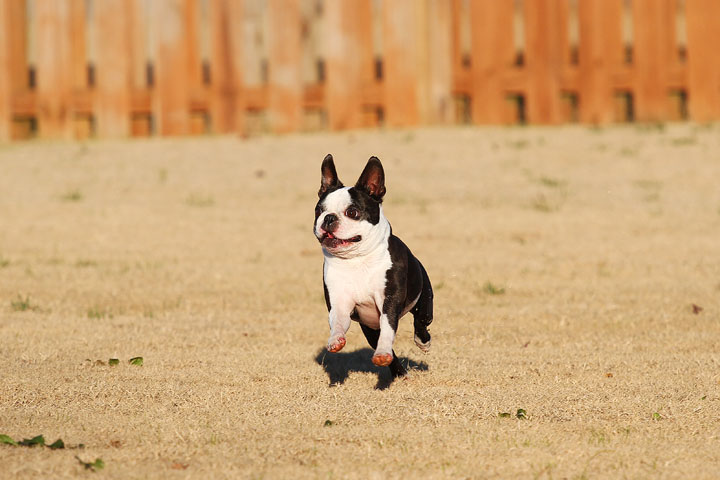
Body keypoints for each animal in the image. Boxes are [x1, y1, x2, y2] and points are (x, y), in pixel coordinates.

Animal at [314, 156, 434, 376]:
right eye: (319, 210)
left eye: (352, 212)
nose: (328, 218)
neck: (357, 260)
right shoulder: (339, 302)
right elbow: (337, 322)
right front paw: (335, 340)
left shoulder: (389, 301)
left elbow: (388, 328)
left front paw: (385, 350)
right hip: (369, 329)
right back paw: (398, 372)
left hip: (424, 300)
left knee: (421, 322)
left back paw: (422, 343)